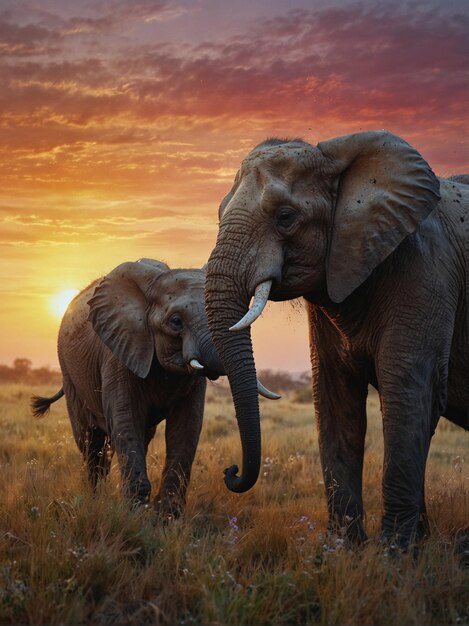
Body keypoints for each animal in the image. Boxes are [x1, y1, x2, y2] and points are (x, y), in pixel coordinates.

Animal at [206, 130, 468, 544]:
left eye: (285, 217)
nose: (230, 472)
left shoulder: (427, 272)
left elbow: (409, 393)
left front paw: (395, 551)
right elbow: (334, 396)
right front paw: (344, 548)